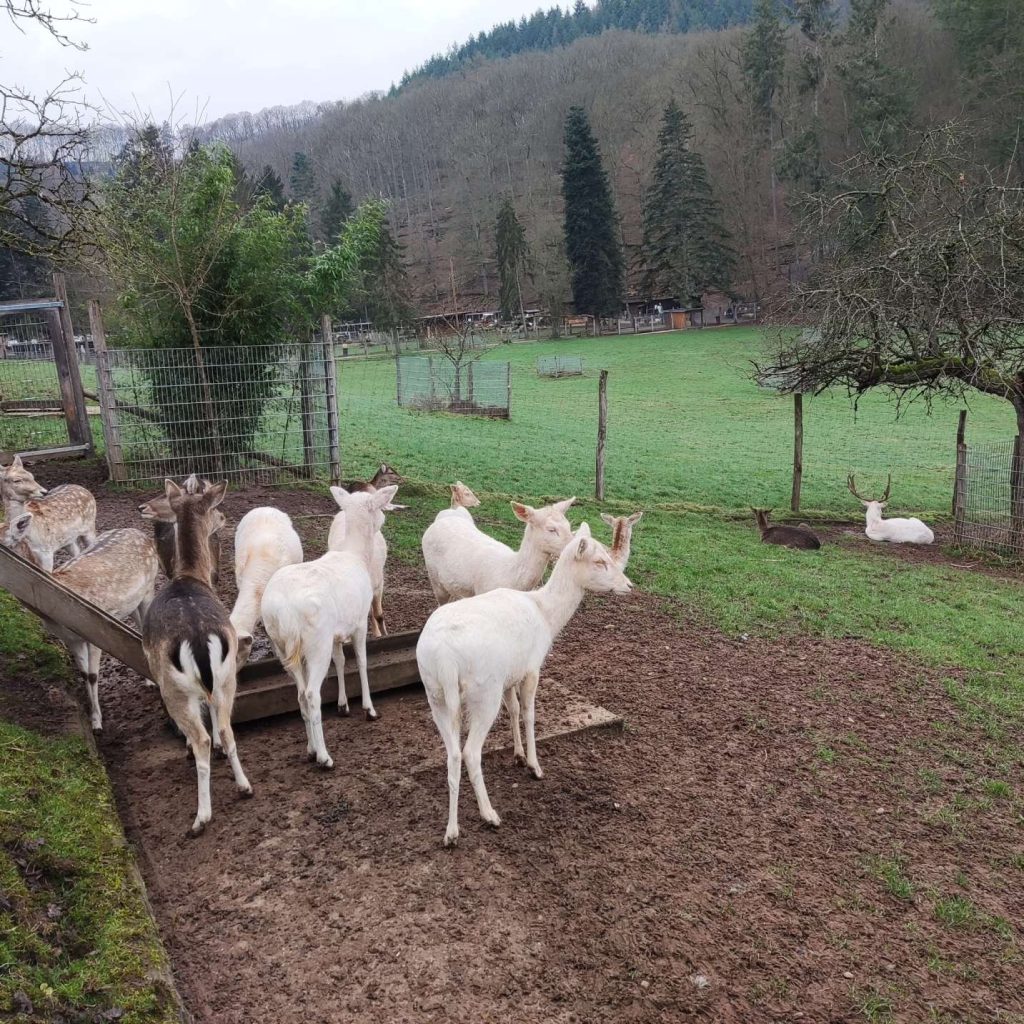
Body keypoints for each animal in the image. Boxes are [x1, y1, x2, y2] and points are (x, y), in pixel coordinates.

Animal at [1, 521, 158, 731]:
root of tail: (141, 533)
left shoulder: (96, 630)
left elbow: (93, 675)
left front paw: (98, 724)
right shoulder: (70, 639)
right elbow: (84, 674)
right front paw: (92, 718)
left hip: (149, 589)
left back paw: (150, 681)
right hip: (131, 603)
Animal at [141, 480, 252, 835]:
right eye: (215, 509)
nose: (225, 518)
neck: (190, 575)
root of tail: (198, 638)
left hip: (175, 688)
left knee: (201, 737)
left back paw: (200, 817)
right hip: (228, 678)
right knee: (228, 730)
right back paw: (244, 786)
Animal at [416, 522, 633, 846]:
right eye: (599, 561)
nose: (629, 585)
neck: (546, 616)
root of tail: (444, 657)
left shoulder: (511, 674)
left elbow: (514, 709)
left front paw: (517, 755)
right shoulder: (531, 668)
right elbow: (530, 713)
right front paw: (534, 765)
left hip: (436, 696)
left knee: (452, 753)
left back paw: (451, 832)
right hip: (483, 693)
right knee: (470, 752)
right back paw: (489, 814)